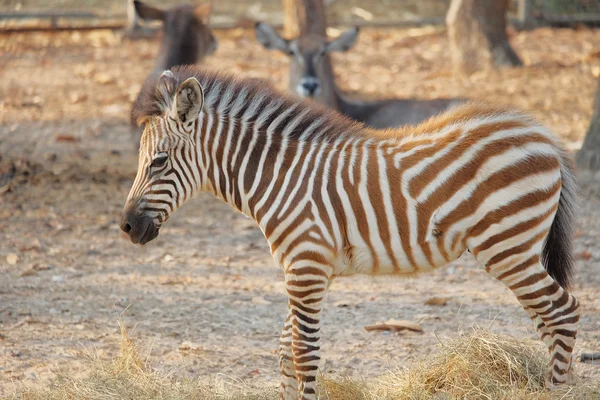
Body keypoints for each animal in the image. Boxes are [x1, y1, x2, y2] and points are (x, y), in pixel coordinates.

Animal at [120, 65, 580, 400]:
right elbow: (285, 352)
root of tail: (543, 133)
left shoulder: (305, 267)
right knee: (548, 318)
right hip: (518, 248)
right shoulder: (302, 268)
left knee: (564, 311)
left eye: (158, 162)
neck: (279, 176)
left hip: (507, 246)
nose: (126, 227)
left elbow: (304, 352)